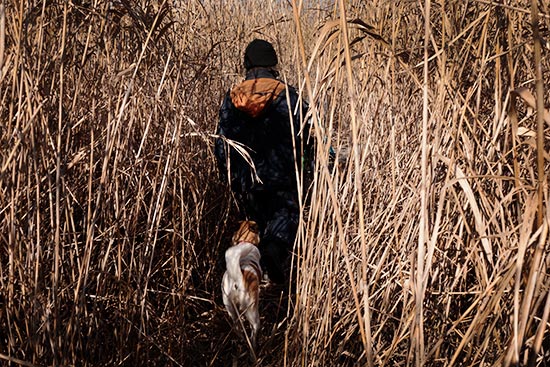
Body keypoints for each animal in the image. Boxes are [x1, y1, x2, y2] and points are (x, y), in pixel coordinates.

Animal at [222, 221, 264, 350]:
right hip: (252, 312)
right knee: (254, 330)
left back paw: (241, 338)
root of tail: (237, 280)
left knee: (236, 325)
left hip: (229, 306)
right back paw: (253, 347)